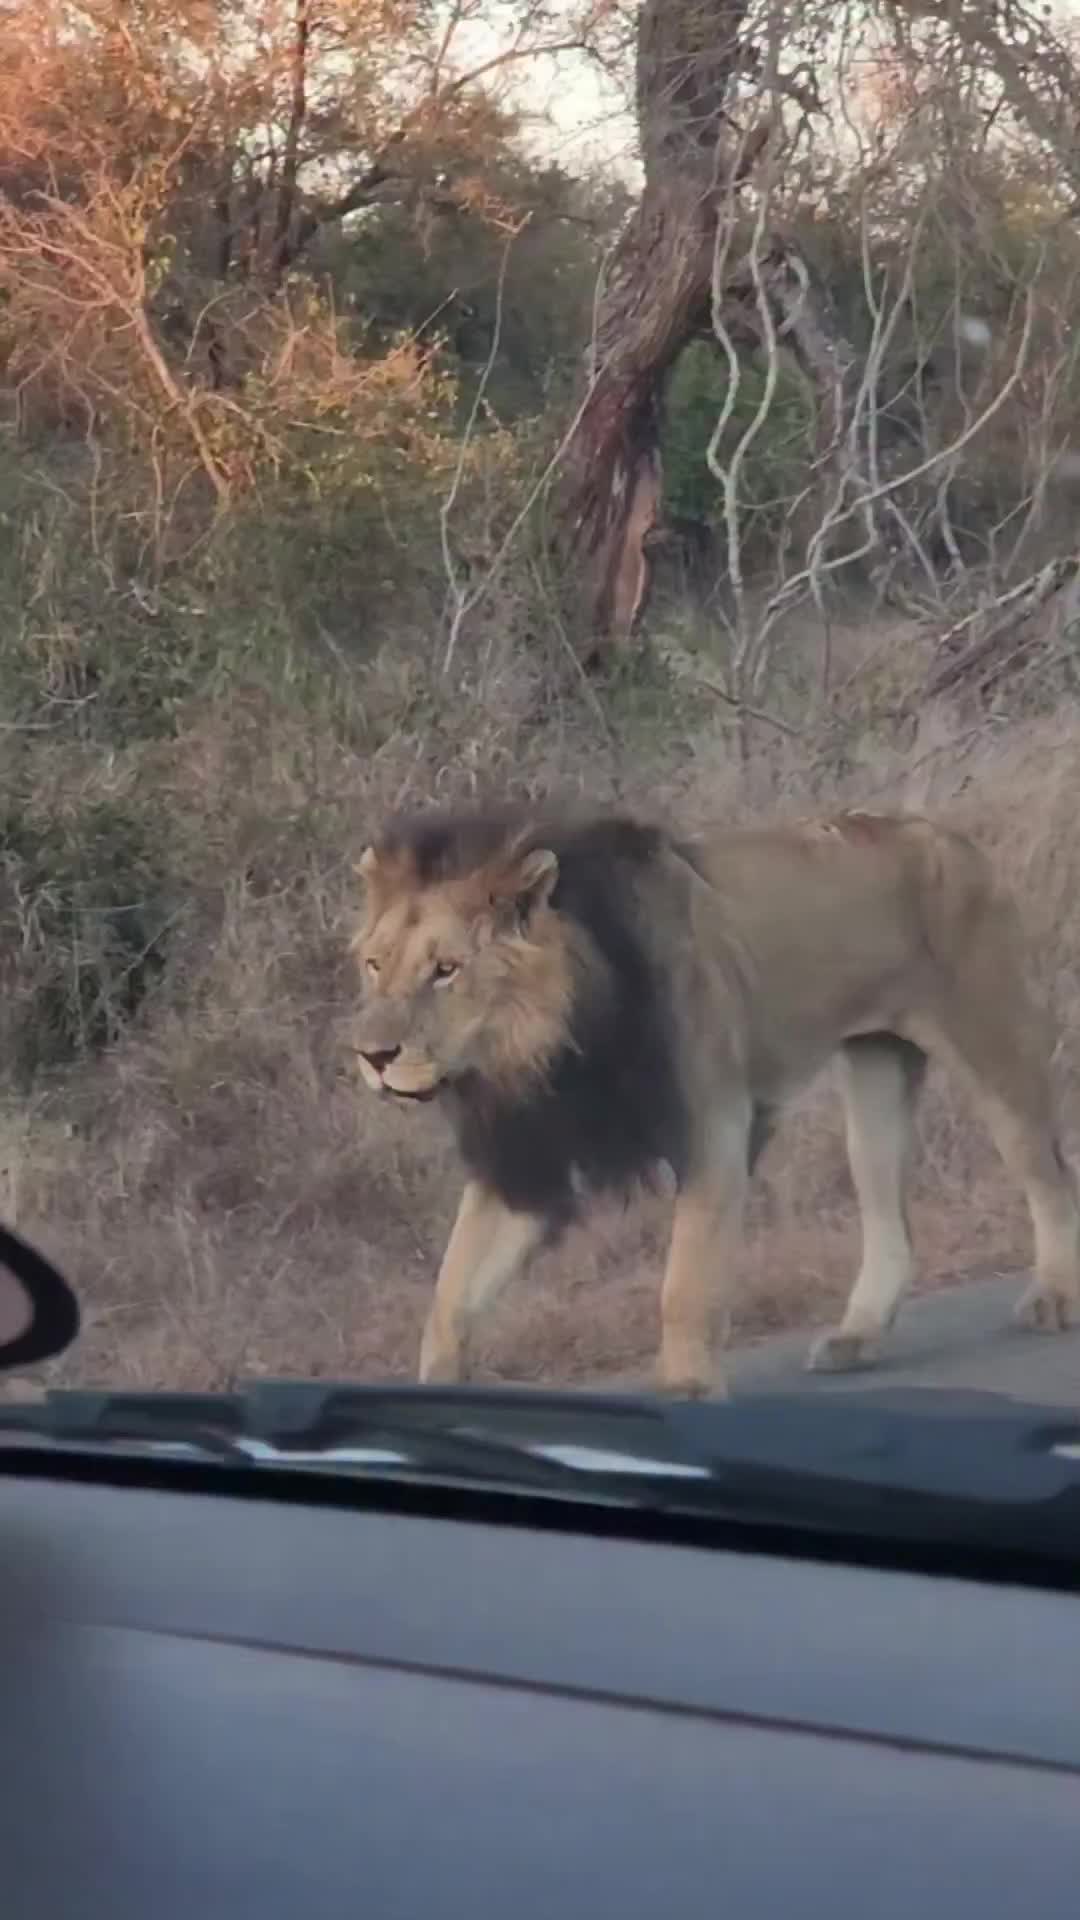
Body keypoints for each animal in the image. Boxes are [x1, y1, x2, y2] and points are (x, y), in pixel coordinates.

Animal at [350, 803, 1079, 1395]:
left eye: (446, 970)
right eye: (375, 965)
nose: (371, 1055)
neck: (548, 1052)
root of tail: (946, 834)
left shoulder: (715, 1128)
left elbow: (686, 1280)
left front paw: (686, 1388)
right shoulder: (529, 1161)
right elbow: (451, 1295)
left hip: (990, 1043)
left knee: (1048, 1176)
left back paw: (1055, 1295)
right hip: (875, 1076)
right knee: (890, 1221)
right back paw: (857, 1337)